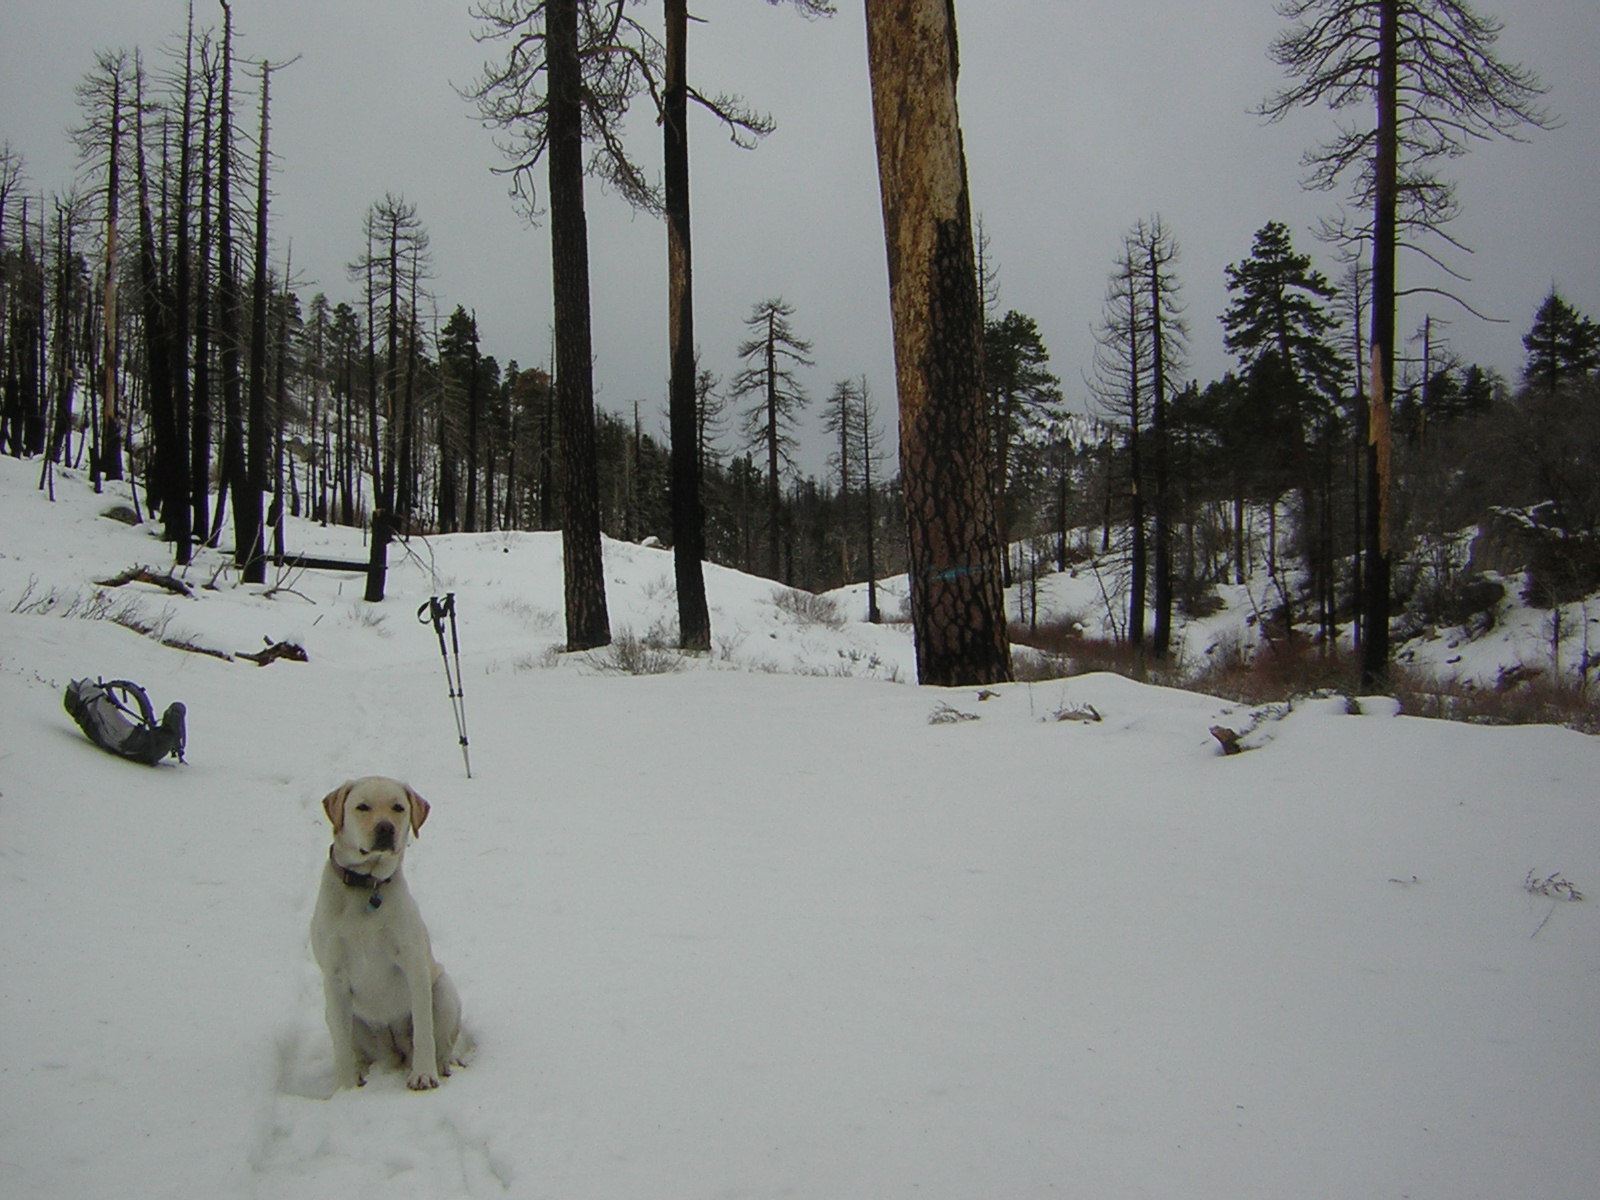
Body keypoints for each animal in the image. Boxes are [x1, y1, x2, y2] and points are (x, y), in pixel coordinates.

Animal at [312, 774, 464, 1094]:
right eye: (362, 807)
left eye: (398, 808)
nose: (385, 828)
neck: (367, 887)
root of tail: (393, 1051)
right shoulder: (334, 975)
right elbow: (341, 1046)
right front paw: (344, 1090)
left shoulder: (414, 965)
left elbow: (424, 1031)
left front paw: (423, 1075)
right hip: (339, 1013)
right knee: (354, 1049)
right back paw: (358, 1072)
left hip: (443, 989)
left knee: (440, 1042)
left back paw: (442, 1064)